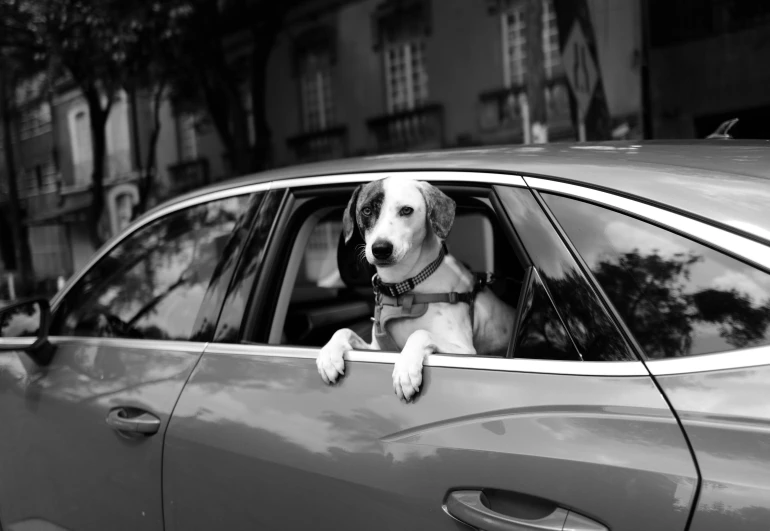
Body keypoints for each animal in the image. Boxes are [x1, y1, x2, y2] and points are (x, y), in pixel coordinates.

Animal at [312, 177, 516, 402]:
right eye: (366, 210)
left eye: (406, 210)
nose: (381, 249)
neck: (403, 289)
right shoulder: (376, 349)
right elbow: (344, 330)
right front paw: (329, 354)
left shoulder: (465, 349)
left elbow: (420, 333)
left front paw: (405, 370)